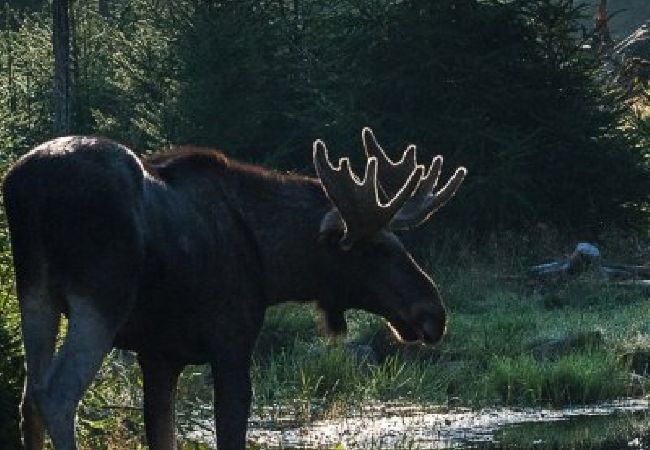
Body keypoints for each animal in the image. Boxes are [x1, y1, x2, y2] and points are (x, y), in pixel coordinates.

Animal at [1, 127, 466, 450]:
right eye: (381, 249)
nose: (434, 313)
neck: (272, 264)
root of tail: (24, 189)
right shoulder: (231, 343)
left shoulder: (159, 356)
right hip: (100, 298)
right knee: (57, 393)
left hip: (35, 294)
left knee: (28, 398)